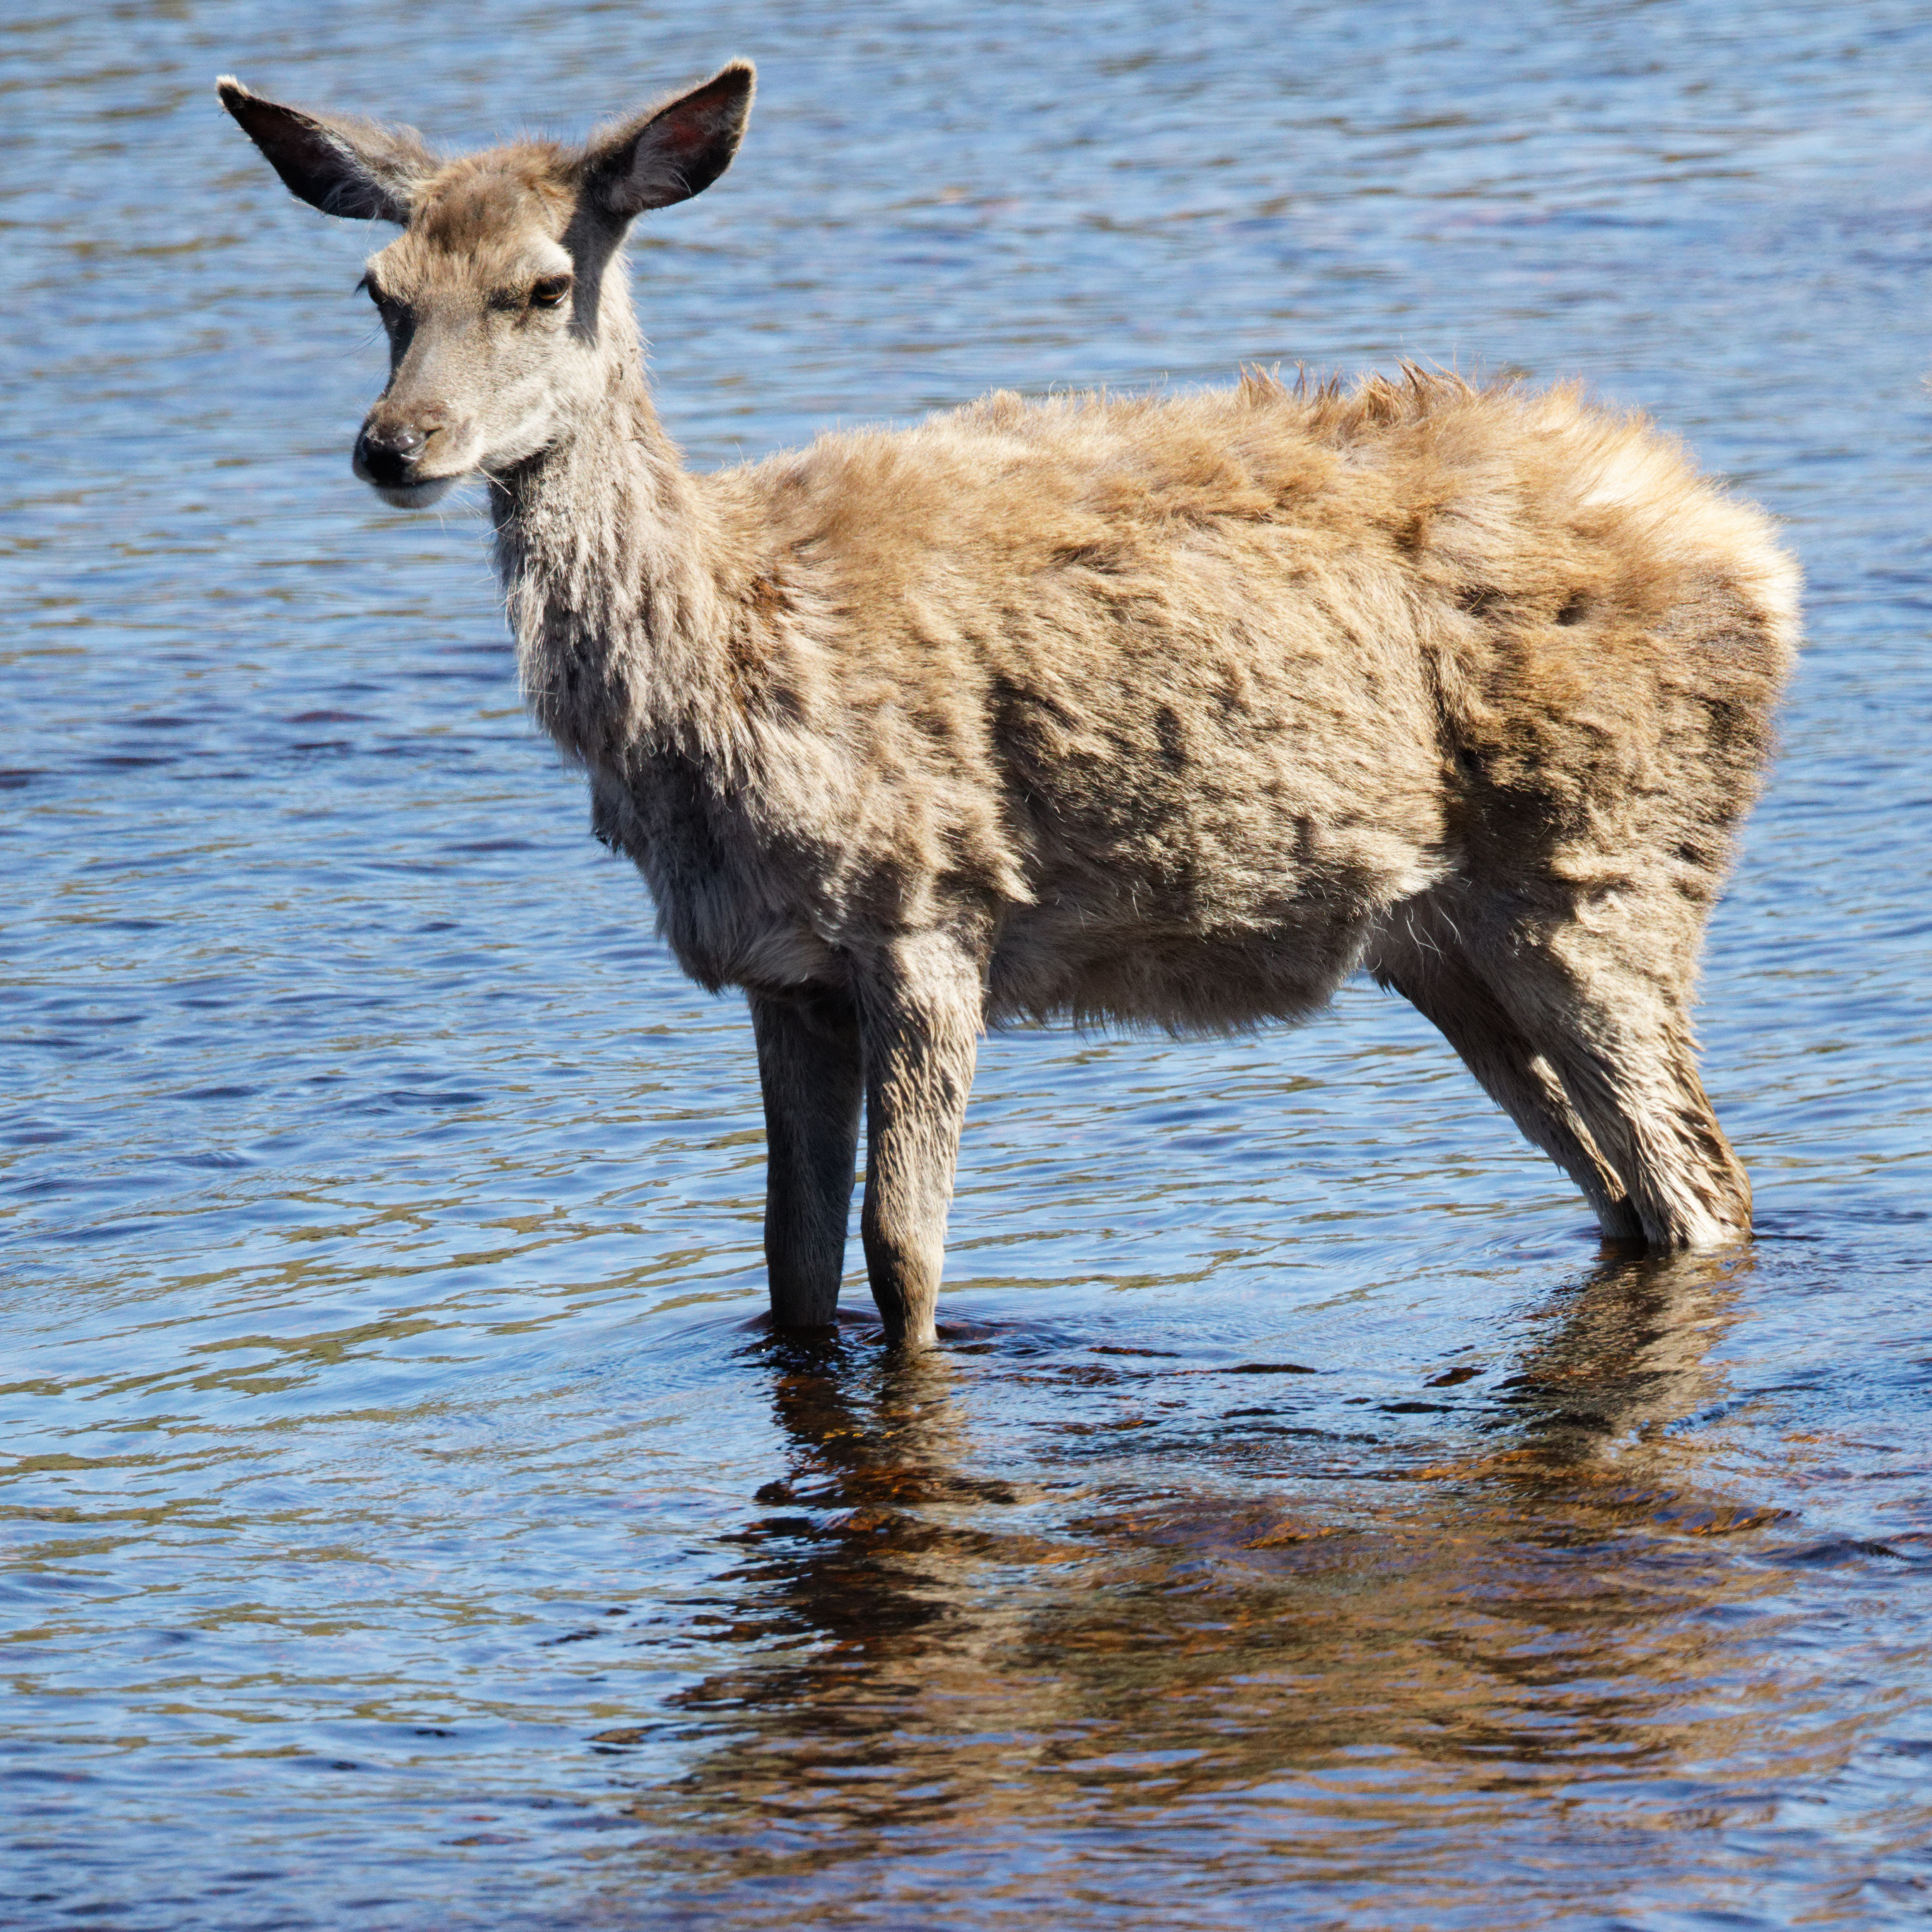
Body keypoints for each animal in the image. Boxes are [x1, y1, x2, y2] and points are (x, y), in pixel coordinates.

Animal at [217, 61, 1800, 1350]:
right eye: (379, 290)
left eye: (546, 284)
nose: (394, 443)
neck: (726, 672)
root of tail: (1761, 560)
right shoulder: (784, 969)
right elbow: (789, 1267)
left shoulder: (932, 914)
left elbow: (901, 1257)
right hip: (1449, 940)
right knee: (1632, 1190)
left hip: (1602, 870)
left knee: (1702, 1184)